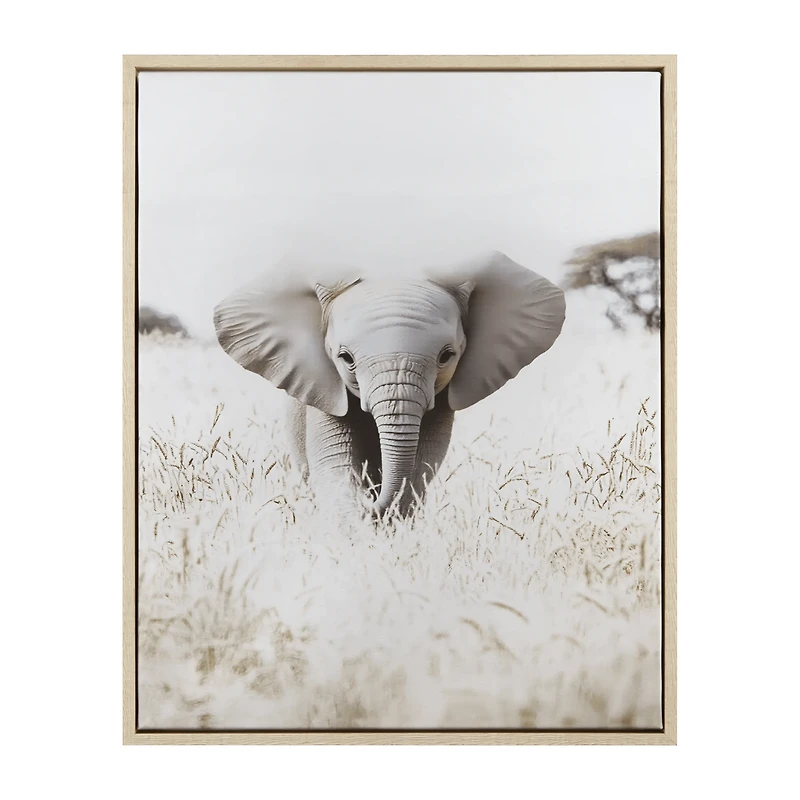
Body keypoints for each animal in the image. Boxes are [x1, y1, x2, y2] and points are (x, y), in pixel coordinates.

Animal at [213, 252, 566, 519]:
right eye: (345, 358)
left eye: (446, 356)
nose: (371, 498)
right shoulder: (326, 389)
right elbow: (336, 467)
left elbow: (420, 468)